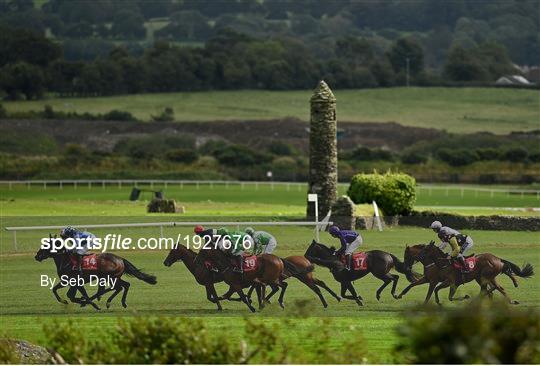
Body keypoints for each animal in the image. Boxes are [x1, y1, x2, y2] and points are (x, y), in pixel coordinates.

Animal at [398, 242, 532, 304]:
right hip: (483, 278)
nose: (406, 267)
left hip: (485, 276)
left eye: (406, 256)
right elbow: (412, 285)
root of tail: (498, 259)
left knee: (492, 289)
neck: (440, 263)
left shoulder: (444, 281)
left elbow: (436, 292)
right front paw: (399, 295)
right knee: (493, 289)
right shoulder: (429, 279)